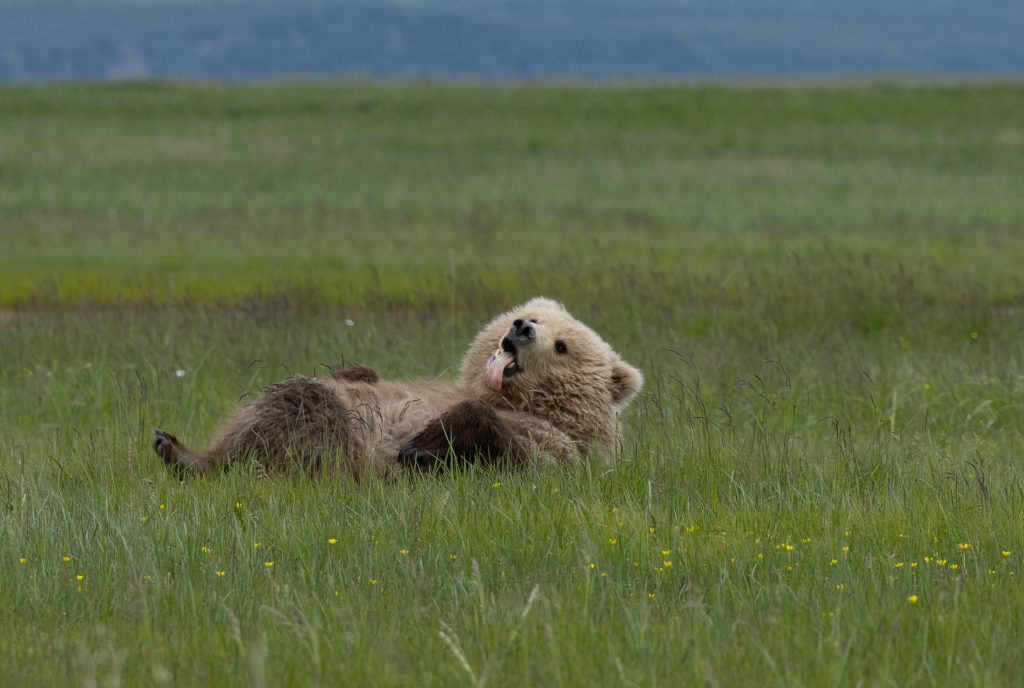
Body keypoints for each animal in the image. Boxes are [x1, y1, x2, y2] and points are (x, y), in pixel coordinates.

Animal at [153, 298, 638, 475]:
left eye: (562, 346)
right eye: (534, 316)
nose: (521, 328)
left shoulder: (555, 444)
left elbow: (525, 454)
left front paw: (419, 447)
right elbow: (360, 374)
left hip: (339, 444)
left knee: (302, 412)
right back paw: (174, 447)